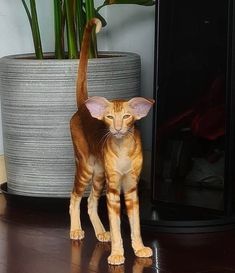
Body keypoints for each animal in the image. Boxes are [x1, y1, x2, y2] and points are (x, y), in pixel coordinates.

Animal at [70, 17, 154, 264]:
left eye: (126, 116)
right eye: (109, 117)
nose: (117, 129)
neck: (123, 149)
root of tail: (83, 108)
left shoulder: (132, 188)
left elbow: (135, 224)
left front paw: (139, 248)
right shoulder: (115, 189)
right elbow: (117, 226)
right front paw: (117, 254)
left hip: (99, 175)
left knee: (90, 201)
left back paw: (100, 232)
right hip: (86, 167)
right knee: (75, 196)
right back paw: (76, 230)